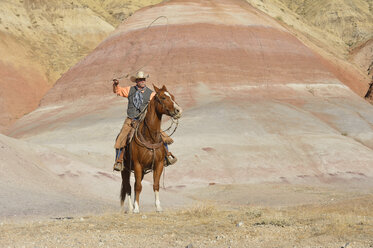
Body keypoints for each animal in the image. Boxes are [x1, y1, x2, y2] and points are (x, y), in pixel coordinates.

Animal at [120, 84, 182, 212]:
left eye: (172, 96)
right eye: (163, 97)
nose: (178, 111)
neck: (150, 137)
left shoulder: (158, 164)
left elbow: (155, 185)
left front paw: (158, 207)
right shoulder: (137, 165)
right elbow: (138, 186)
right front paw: (136, 209)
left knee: (133, 185)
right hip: (125, 170)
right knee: (128, 186)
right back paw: (130, 208)